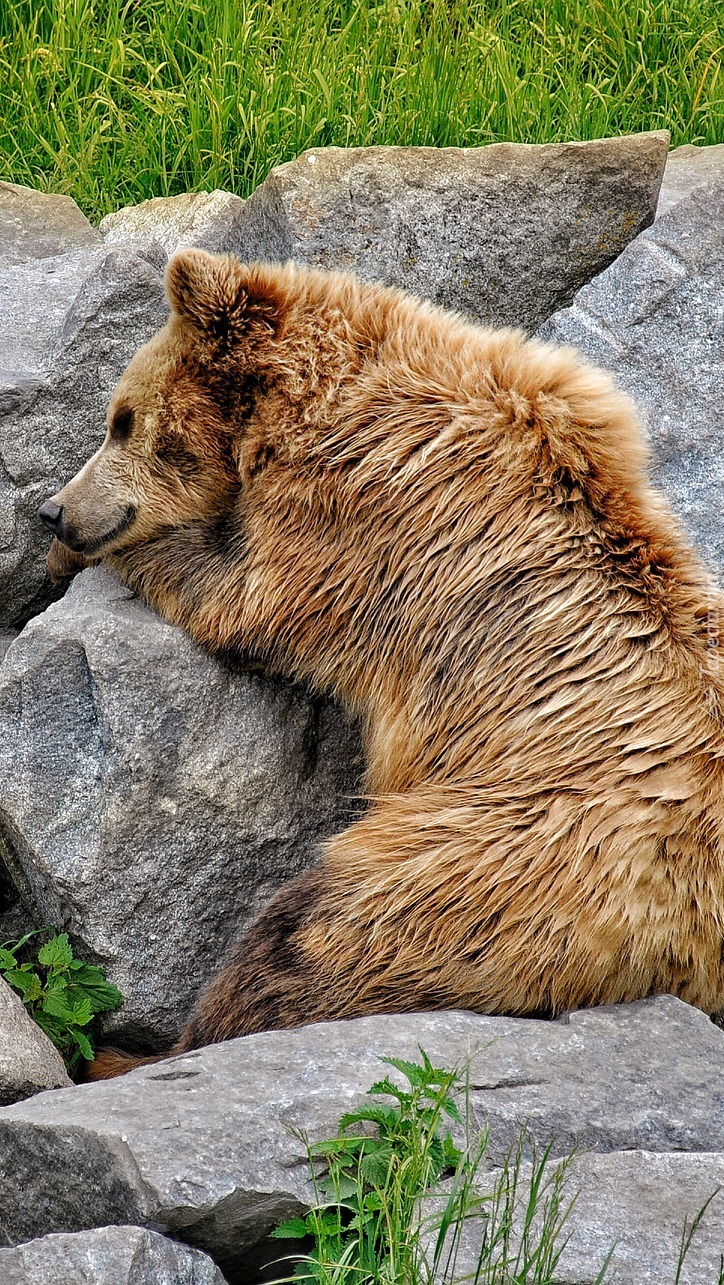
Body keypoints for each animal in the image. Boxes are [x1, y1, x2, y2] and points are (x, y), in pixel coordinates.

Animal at [38, 248, 724, 1074]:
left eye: (122, 419)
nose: (54, 510)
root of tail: (685, 944)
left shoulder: (360, 513)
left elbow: (243, 594)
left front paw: (100, 553)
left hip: (494, 861)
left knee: (310, 938)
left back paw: (147, 1049)